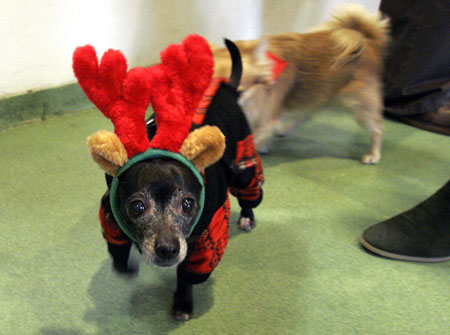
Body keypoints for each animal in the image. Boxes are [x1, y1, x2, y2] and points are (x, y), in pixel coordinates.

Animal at [213, 3, 388, 164]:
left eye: (237, 92)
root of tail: (367, 39)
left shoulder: (263, 120)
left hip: (362, 108)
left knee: (377, 130)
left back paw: (374, 155)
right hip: (320, 96)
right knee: (307, 114)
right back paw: (284, 130)